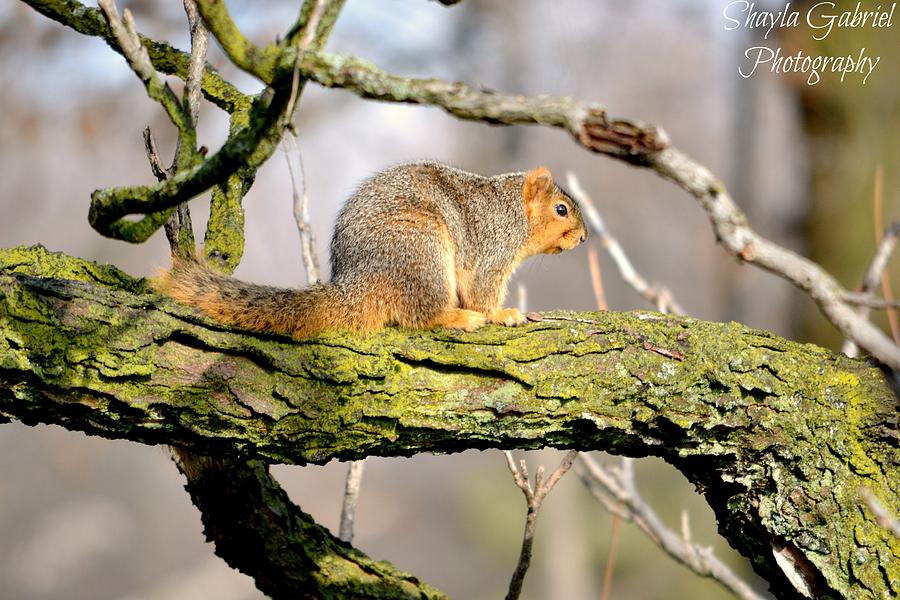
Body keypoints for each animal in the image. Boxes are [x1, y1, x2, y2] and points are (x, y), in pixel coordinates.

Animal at [157, 159, 588, 338]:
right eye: (561, 209)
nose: (583, 237)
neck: (512, 210)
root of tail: (362, 279)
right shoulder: (493, 250)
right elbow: (483, 292)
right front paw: (502, 314)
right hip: (422, 249)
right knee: (420, 315)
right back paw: (456, 318)